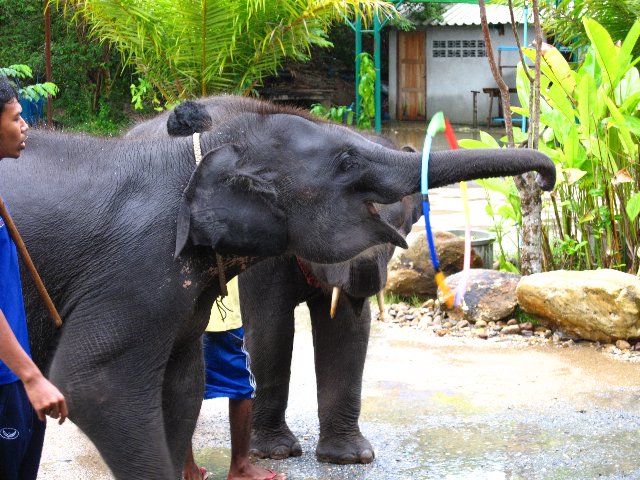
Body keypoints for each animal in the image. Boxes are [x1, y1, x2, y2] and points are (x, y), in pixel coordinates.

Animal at [0, 95, 556, 479]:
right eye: (348, 164)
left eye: (410, 221)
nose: (547, 178)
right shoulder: (141, 265)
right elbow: (96, 383)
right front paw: (280, 455)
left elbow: (186, 382)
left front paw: (351, 460)